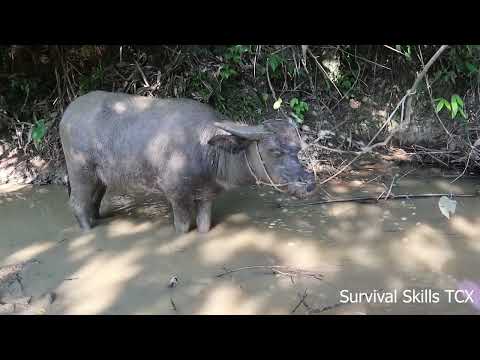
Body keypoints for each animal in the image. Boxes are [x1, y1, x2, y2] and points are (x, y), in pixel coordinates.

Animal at [59, 90, 316, 233]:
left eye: (298, 148)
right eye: (274, 150)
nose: (309, 184)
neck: (206, 150)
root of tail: (67, 114)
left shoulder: (207, 196)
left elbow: (204, 226)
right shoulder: (176, 194)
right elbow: (182, 227)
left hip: (99, 178)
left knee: (93, 201)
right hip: (80, 172)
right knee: (77, 203)